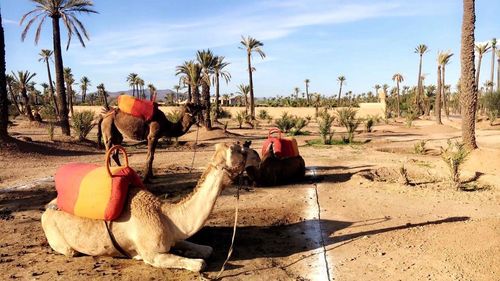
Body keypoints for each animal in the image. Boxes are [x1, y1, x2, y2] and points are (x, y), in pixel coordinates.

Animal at [42, 142, 247, 272]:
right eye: (238, 150)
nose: (248, 145)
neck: (166, 215)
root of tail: (46, 208)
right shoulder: (152, 254)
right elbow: (199, 264)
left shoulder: (172, 236)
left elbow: (207, 249)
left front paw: (188, 250)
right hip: (59, 239)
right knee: (71, 250)